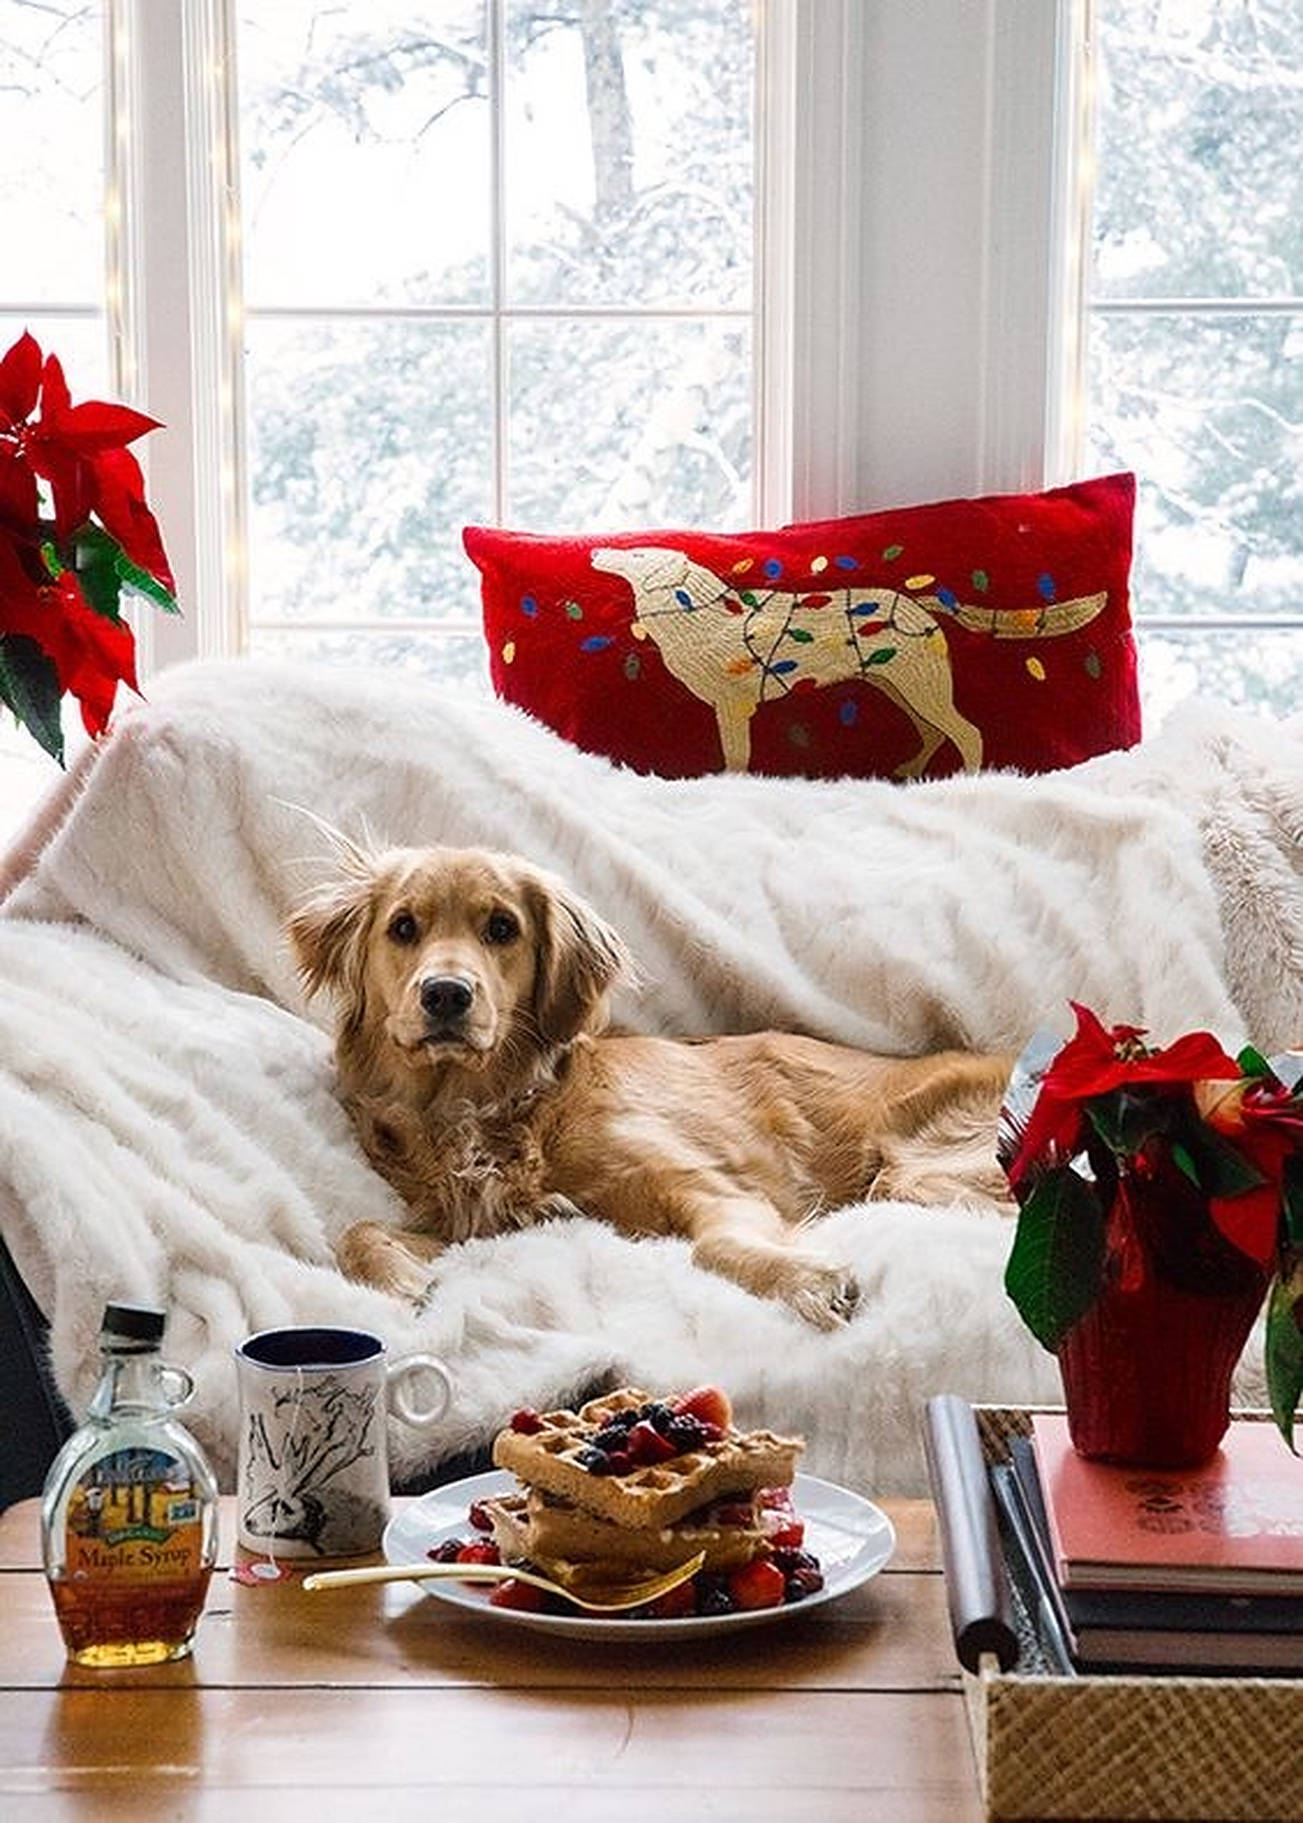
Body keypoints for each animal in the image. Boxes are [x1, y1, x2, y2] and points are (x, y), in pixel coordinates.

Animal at [289, 838, 1013, 1327]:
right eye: (402, 927)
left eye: (501, 928)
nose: (445, 994)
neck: (488, 1104)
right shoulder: (480, 1225)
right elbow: (357, 1232)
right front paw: (402, 1284)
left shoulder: (710, 1183)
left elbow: (713, 1247)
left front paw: (801, 1278)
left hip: (921, 1172)